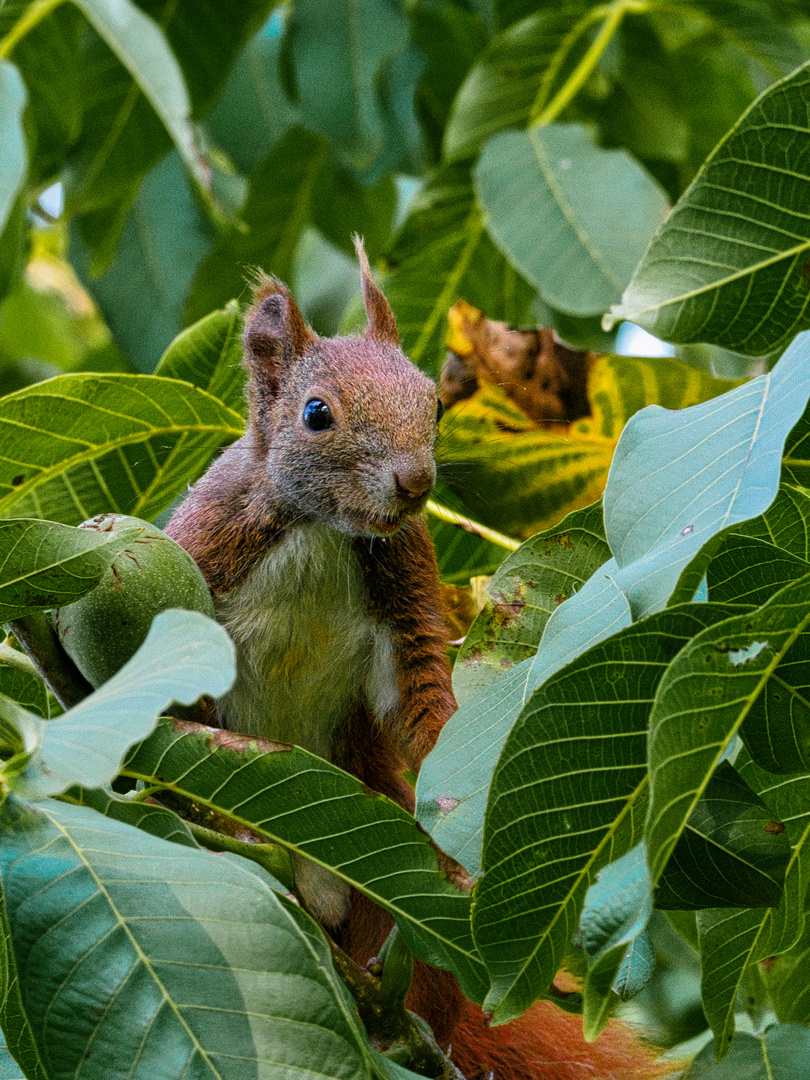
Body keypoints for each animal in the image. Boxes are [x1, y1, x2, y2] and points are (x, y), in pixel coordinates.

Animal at [165, 243, 665, 1080]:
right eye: (316, 413)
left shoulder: (405, 602)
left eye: (433, 406)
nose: (416, 481)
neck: (324, 529)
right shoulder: (208, 544)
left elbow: (422, 705)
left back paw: (413, 1026)